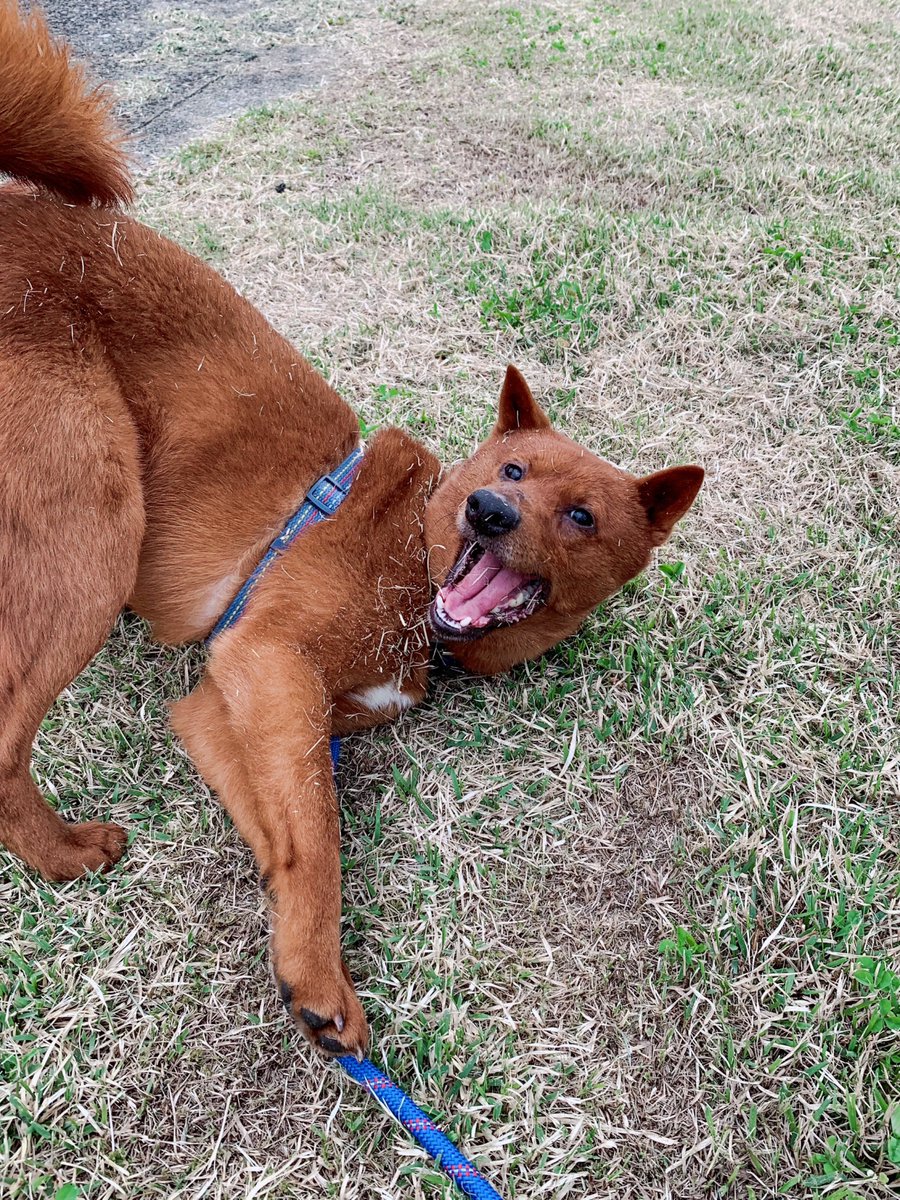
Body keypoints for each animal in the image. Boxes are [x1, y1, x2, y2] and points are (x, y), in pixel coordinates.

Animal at [0, 7, 705, 1060]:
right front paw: (325, 973)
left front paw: (295, 949)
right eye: (510, 474)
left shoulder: (231, 703)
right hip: (95, 531)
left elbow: (288, 834)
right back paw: (62, 853)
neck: (416, 568)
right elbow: (324, 835)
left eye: (581, 516)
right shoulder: (270, 661)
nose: (490, 515)